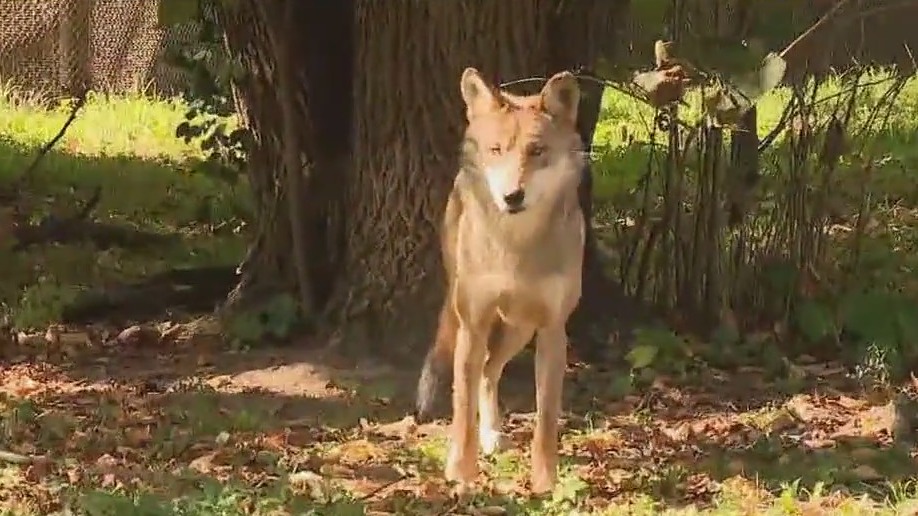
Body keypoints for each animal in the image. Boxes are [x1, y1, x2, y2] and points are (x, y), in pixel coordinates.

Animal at [415, 67, 586, 494]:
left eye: (536, 151)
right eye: (496, 151)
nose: (512, 196)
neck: (516, 247)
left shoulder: (552, 331)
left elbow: (546, 421)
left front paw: (545, 483)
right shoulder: (473, 325)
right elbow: (461, 415)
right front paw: (460, 474)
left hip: (520, 329)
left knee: (491, 373)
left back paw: (493, 434)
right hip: (474, 317)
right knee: (482, 374)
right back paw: (487, 437)